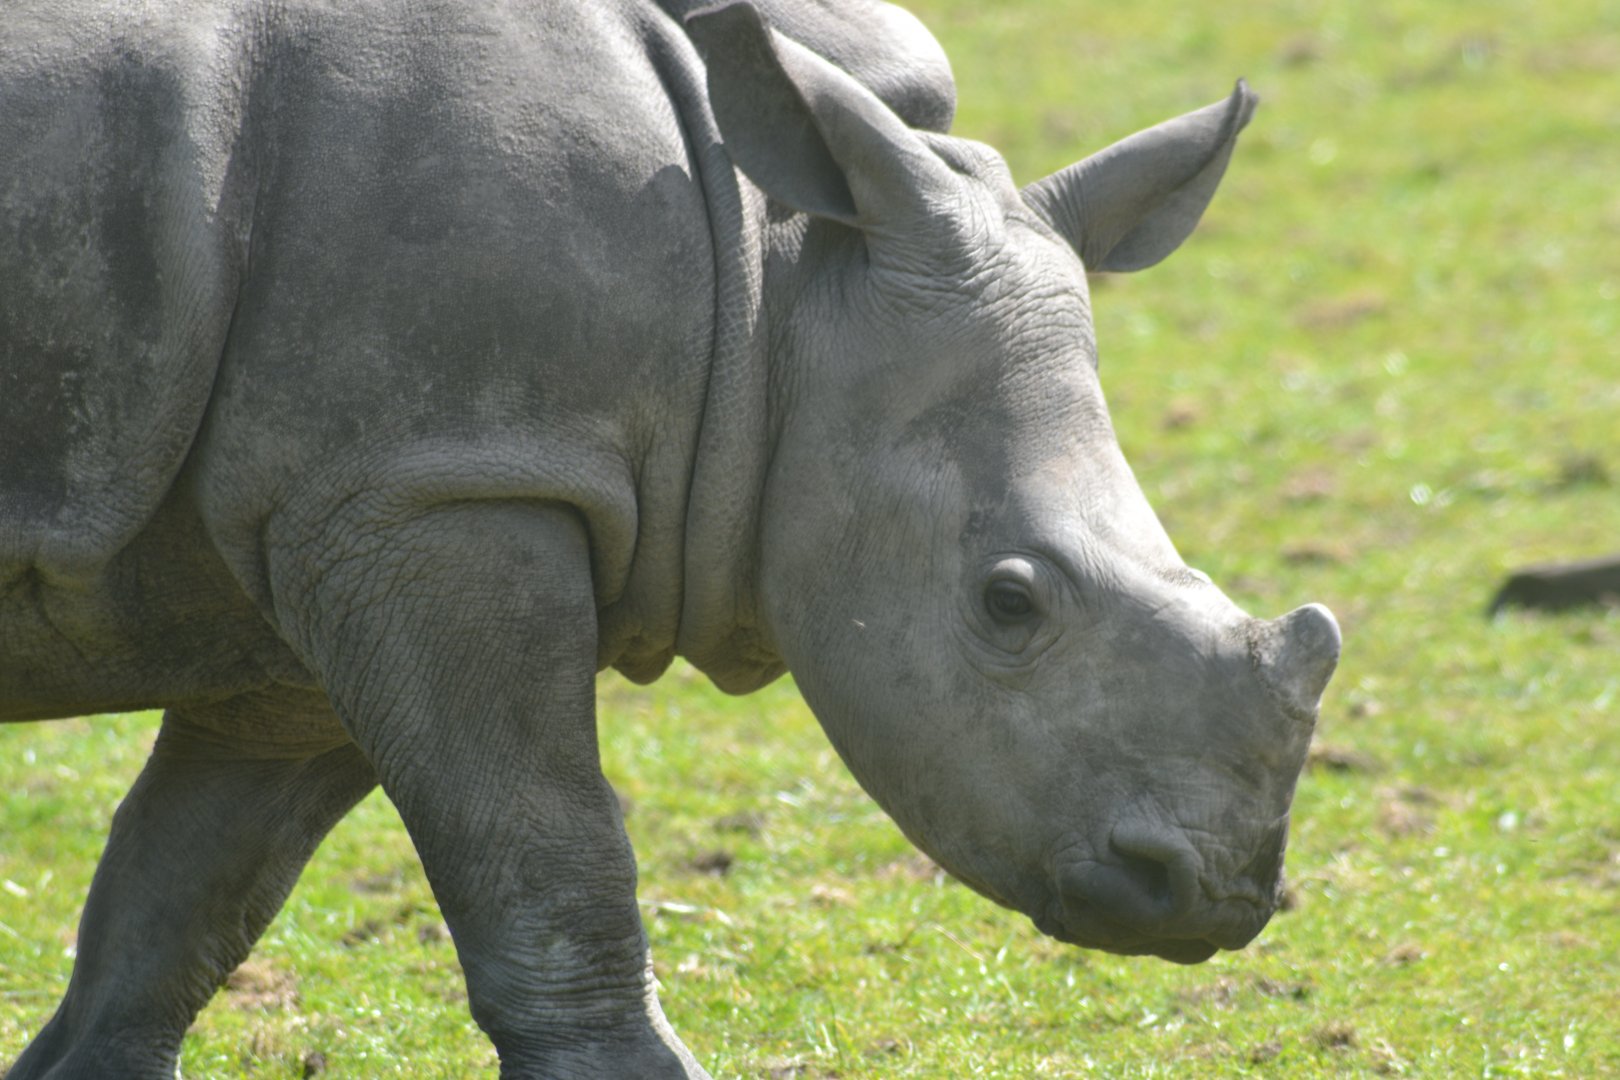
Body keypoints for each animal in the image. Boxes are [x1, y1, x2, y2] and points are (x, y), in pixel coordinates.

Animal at [0, 0, 1341, 1075]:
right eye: (1009, 601)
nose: (1214, 892)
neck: (772, 280)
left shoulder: (340, 511)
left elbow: (184, 902)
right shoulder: (445, 480)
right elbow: (545, 857)